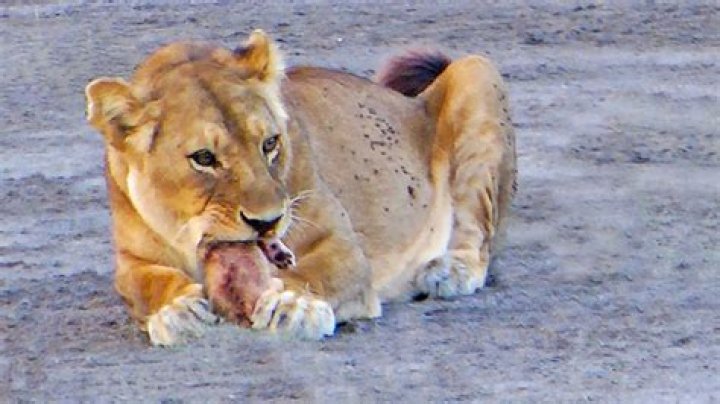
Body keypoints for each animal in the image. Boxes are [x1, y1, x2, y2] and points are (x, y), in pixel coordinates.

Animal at [85, 30, 516, 345]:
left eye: (269, 143)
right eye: (204, 158)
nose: (267, 222)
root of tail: (405, 99)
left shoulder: (340, 243)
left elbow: (317, 273)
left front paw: (293, 306)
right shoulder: (130, 260)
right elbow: (145, 283)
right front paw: (177, 311)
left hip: (475, 71)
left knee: (477, 231)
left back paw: (450, 270)